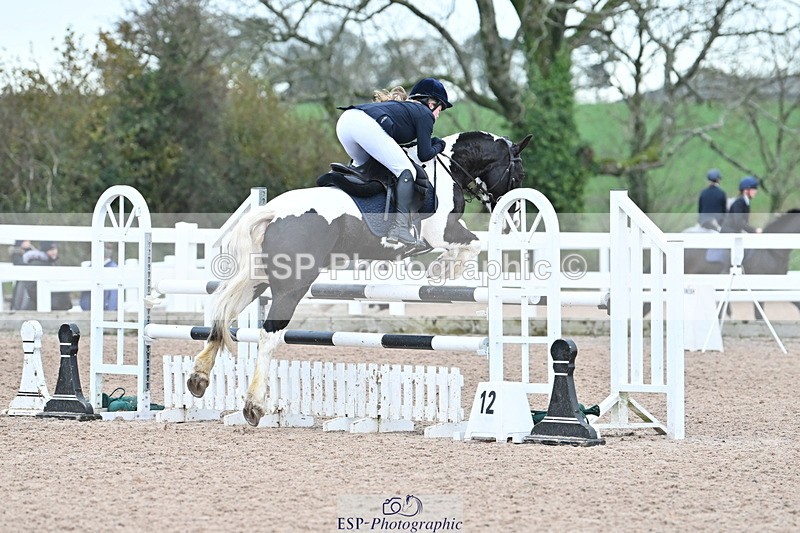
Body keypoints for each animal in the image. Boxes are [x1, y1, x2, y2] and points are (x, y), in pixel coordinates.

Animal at [187, 130, 533, 426]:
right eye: (519, 174)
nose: (510, 221)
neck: (446, 168)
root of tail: (271, 212)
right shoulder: (442, 233)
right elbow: (473, 244)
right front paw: (443, 270)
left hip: (258, 279)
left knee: (222, 314)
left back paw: (198, 379)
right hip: (293, 286)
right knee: (268, 335)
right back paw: (254, 405)